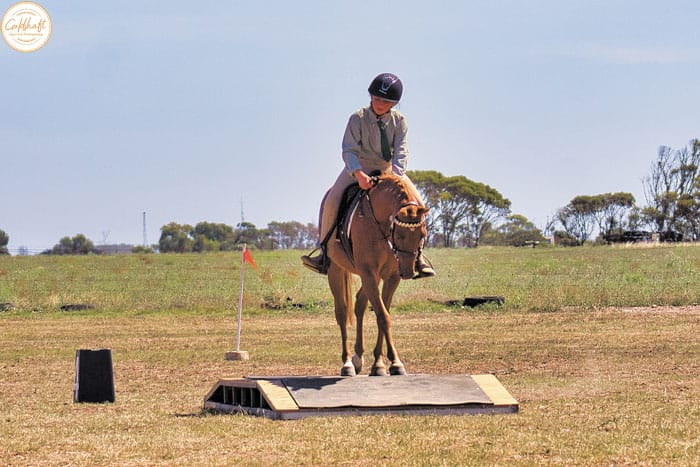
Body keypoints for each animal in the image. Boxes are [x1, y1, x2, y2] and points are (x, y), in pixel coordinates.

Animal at [326, 174, 429, 377]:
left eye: (422, 235)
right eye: (401, 236)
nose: (408, 271)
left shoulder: (390, 276)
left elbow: (383, 312)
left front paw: (382, 364)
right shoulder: (368, 273)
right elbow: (383, 316)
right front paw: (394, 363)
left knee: (359, 304)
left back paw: (358, 357)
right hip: (336, 270)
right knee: (341, 312)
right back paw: (347, 363)